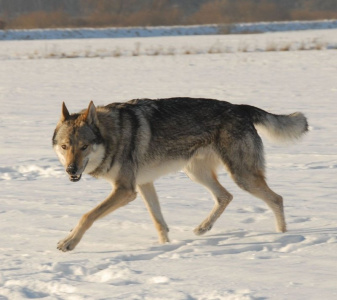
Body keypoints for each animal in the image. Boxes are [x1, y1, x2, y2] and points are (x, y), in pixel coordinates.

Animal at [52, 98, 308, 251]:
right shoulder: (143, 184)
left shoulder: (125, 190)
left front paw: (69, 242)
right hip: (197, 173)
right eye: (65, 147)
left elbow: (87, 215)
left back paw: (282, 236)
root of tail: (240, 107)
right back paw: (203, 228)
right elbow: (158, 222)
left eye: (84, 146)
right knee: (226, 196)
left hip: (242, 176)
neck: (112, 136)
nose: (71, 170)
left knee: (276, 199)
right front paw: (164, 247)